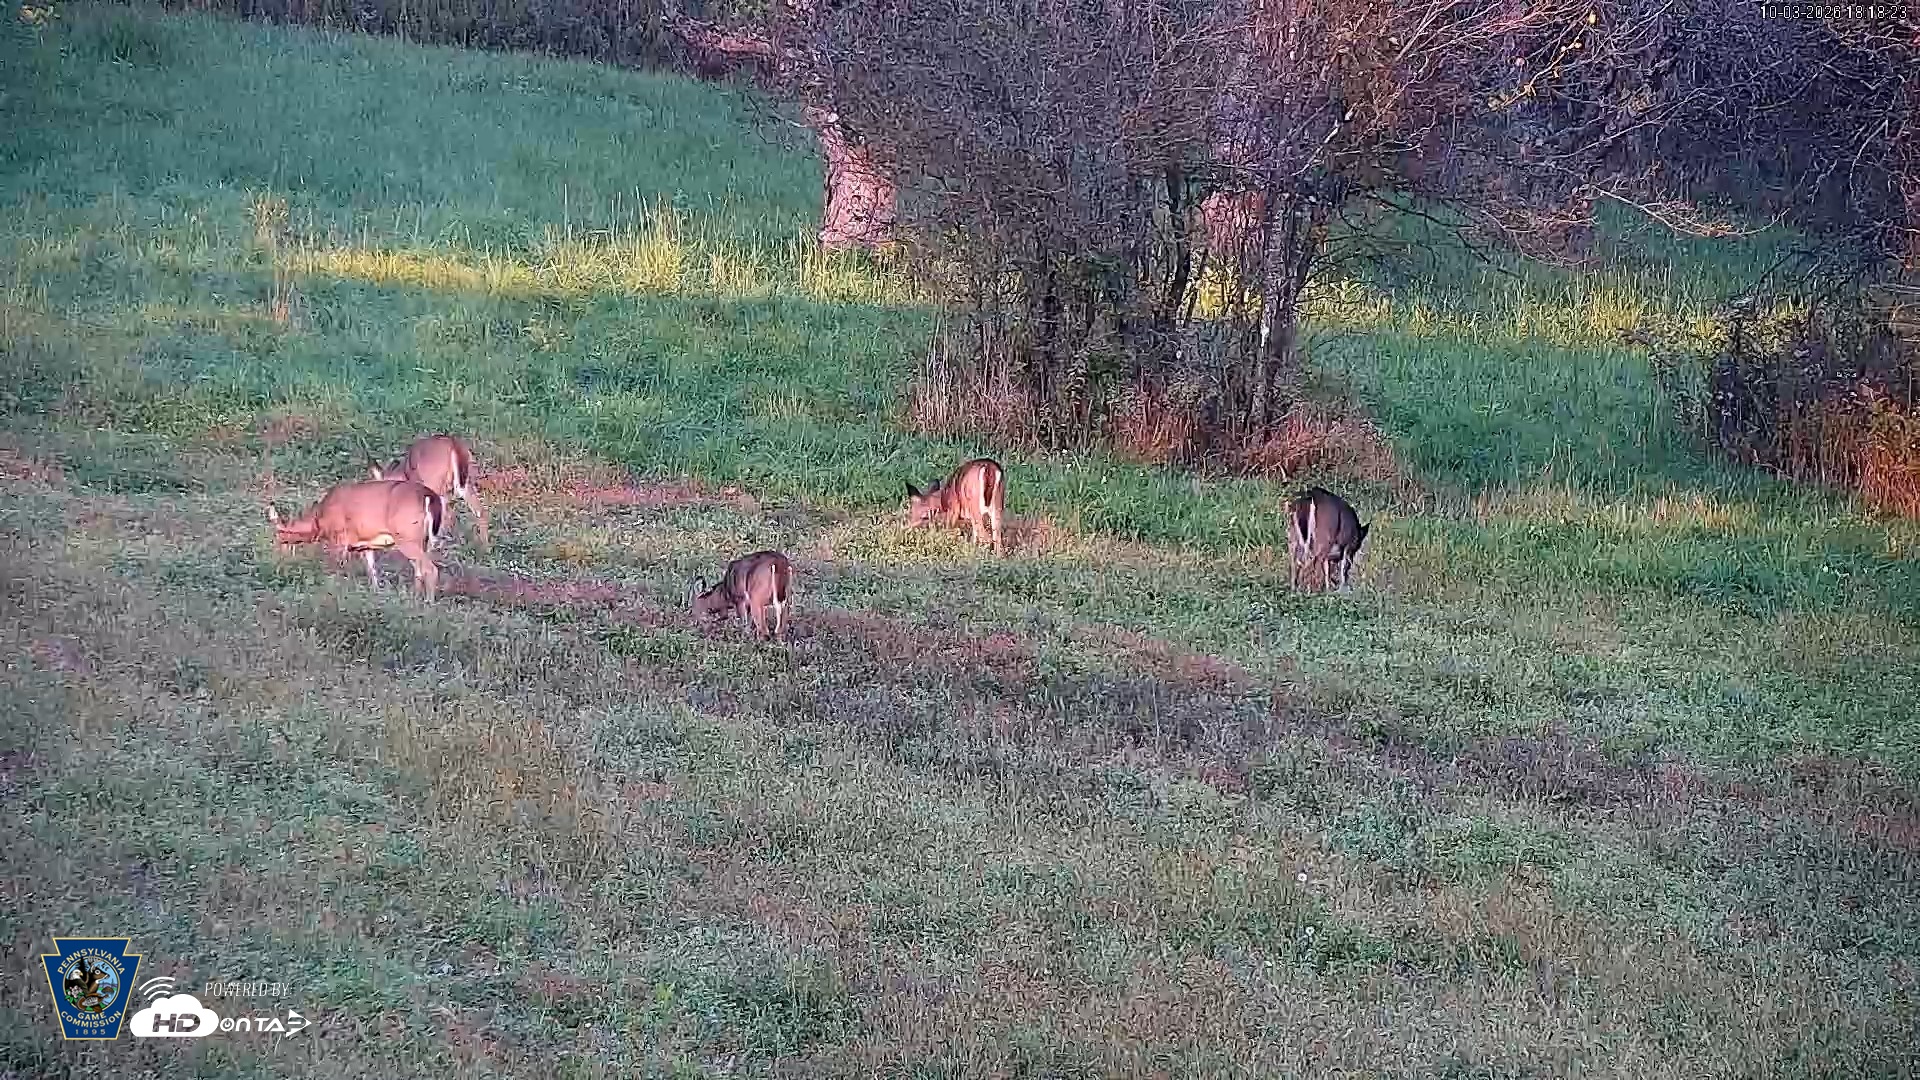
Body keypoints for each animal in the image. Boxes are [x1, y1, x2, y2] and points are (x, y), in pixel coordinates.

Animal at [267, 478, 445, 601]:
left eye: (278, 537)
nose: (277, 561)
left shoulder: (339, 539)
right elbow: (372, 571)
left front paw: (332, 592)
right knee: (419, 570)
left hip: (407, 537)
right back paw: (414, 600)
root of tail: (429, 497)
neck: (319, 520)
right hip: (422, 540)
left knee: (430, 569)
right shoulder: (365, 545)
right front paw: (376, 595)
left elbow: (334, 570)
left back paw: (428, 604)